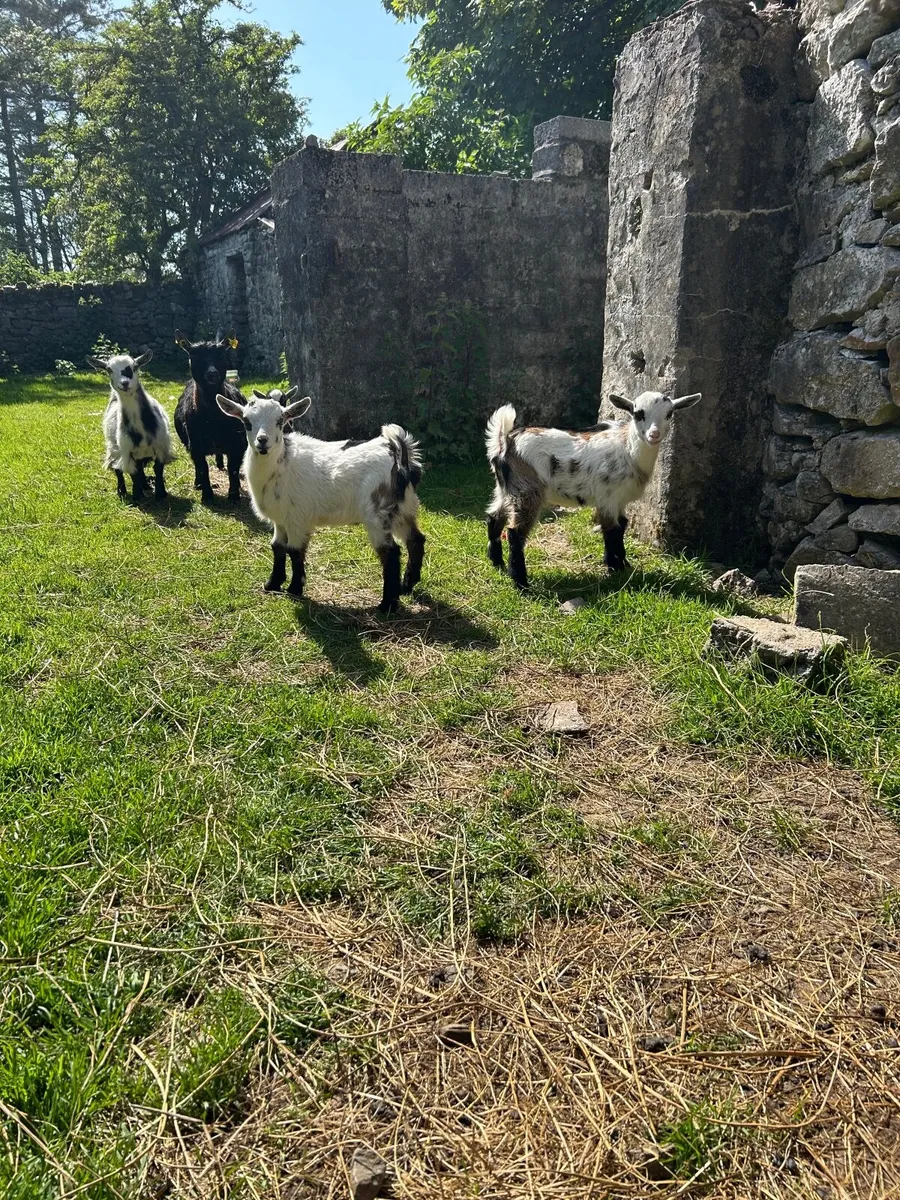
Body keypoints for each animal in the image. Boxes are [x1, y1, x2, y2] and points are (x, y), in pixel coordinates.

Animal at [87, 351, 174, 502]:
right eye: (109, 369)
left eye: (135, 366)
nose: (125, 383)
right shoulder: (127, 451)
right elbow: (133, 473)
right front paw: (137, 495)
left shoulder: (161, 446)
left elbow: (158, 469)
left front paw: (160, 493)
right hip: (114, 448)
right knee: (118, 469)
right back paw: (122, 490)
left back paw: (145, 485)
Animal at [173, 330, 246, 503]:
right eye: (193, 354)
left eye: (222, 353)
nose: (212, 374)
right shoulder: (195, 445)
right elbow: (202, 468)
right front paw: (207, 495)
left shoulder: (238, 444)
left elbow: (233, 469)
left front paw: (234, 496)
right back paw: (198, 483)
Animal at [216, 392, 426, 613]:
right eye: (246, 421)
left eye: (280, 421)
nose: (262, 441)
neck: (280, 466)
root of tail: (398, 453)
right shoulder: (280, 519)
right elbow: (277, 547)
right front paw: (272, 584)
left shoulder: (297, 519)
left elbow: (295, 550)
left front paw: (294, 589)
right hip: (403, 509)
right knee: (415, 540)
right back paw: (406, 585)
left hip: (378, 513)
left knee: (390, 553)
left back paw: (387, 604)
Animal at [485, 390, 702, 589]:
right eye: (638, 413)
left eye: (669, 413)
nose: (653, 435)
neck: (628, 449)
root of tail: (505, 442)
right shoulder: (607, 496)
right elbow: (611, 529)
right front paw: (615, 567)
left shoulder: (620, 499)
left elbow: (622, 525)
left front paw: (622, 564)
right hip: (527, 490)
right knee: (515, 533)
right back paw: (521, 582)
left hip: (506, 489)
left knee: (494, 518)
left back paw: (497, 562)